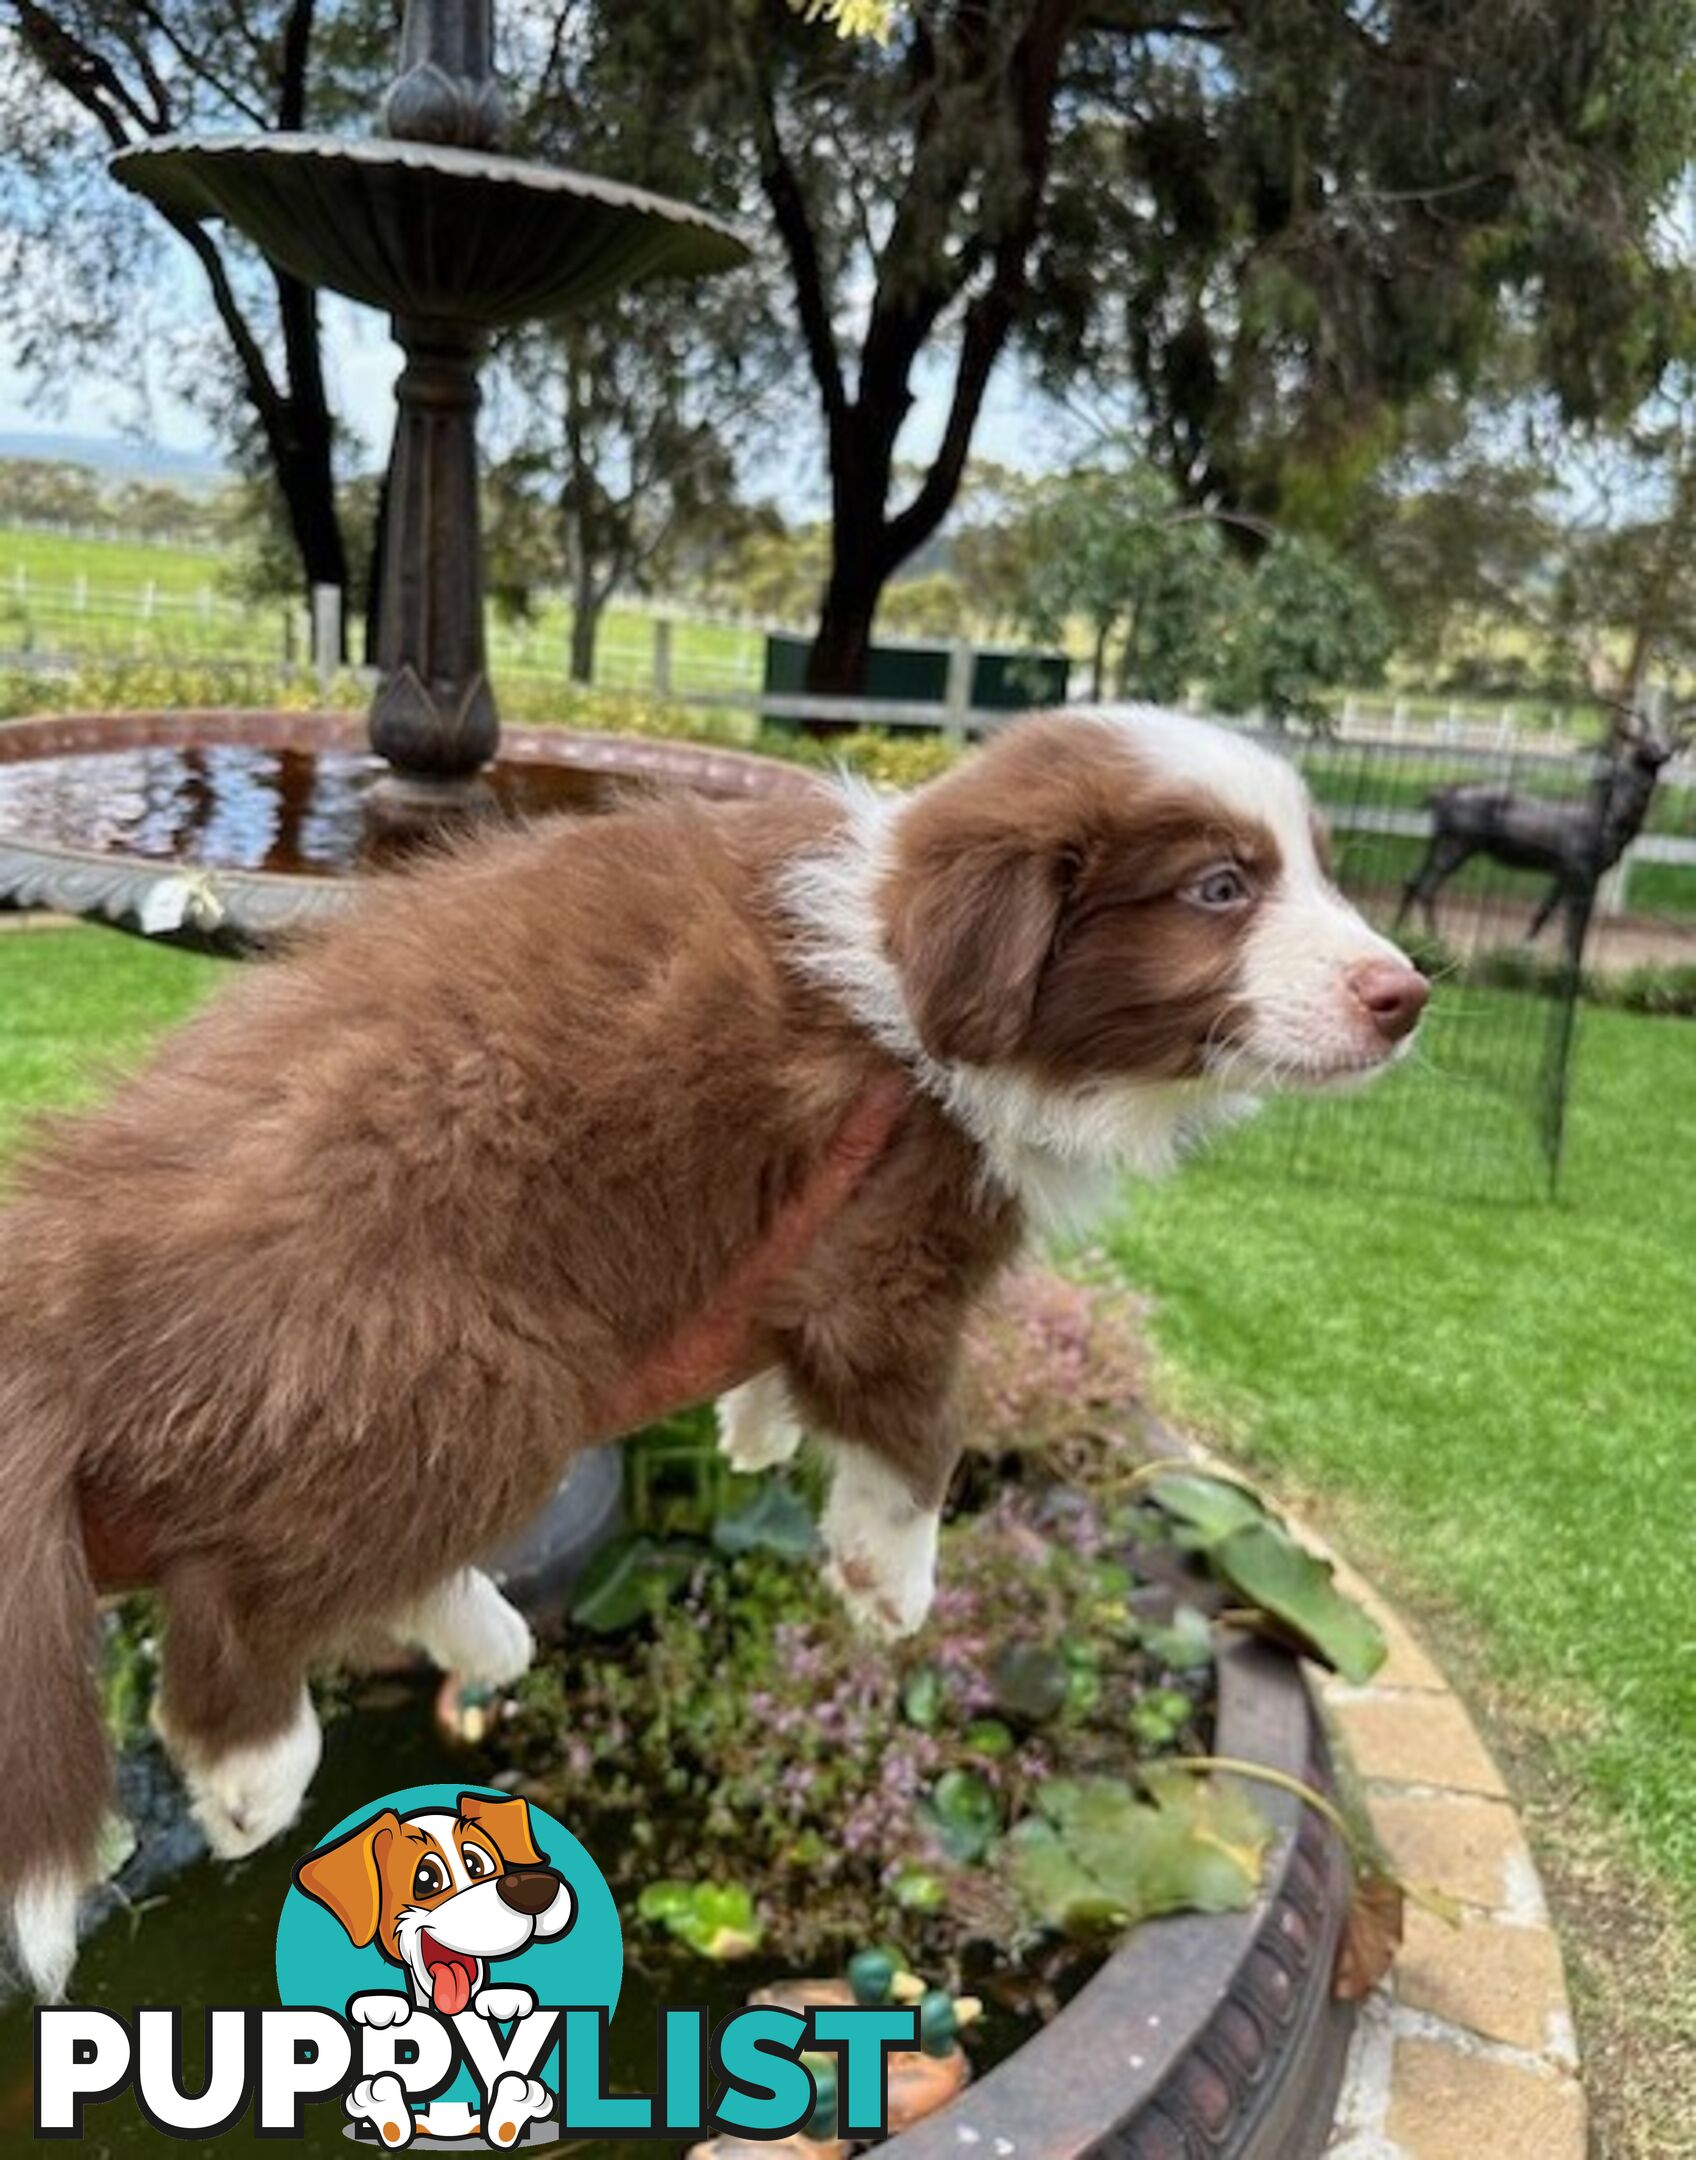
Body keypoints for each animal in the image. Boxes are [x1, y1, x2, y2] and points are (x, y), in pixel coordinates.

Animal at [0, 704, 1425, 1987]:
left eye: (1318, 868)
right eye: (1219, 888)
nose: (1406, 996)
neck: (901, 956)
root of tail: (65, 1272)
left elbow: (796, 1371)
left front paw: (757, 1427)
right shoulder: (887, 1251)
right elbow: (922, 1428)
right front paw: (890, 1576)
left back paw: (481, 1638)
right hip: (460, 1363)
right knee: (246, 1583)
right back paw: (251, 1766)